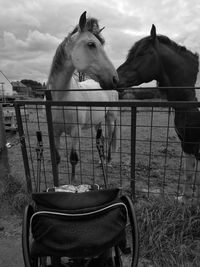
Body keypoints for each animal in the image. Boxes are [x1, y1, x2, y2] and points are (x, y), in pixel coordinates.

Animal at [47, 11, 119, 182]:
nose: (115, 79)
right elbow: (57, 158)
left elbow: (73, 158)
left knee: (109, 137)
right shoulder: (55, 132)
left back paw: (108, 162)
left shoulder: (75, 133)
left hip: (110, 118)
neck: (62, 98)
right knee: (101, 140)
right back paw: (100, 162)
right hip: (97, 121)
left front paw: (73, 182)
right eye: (91, 44)